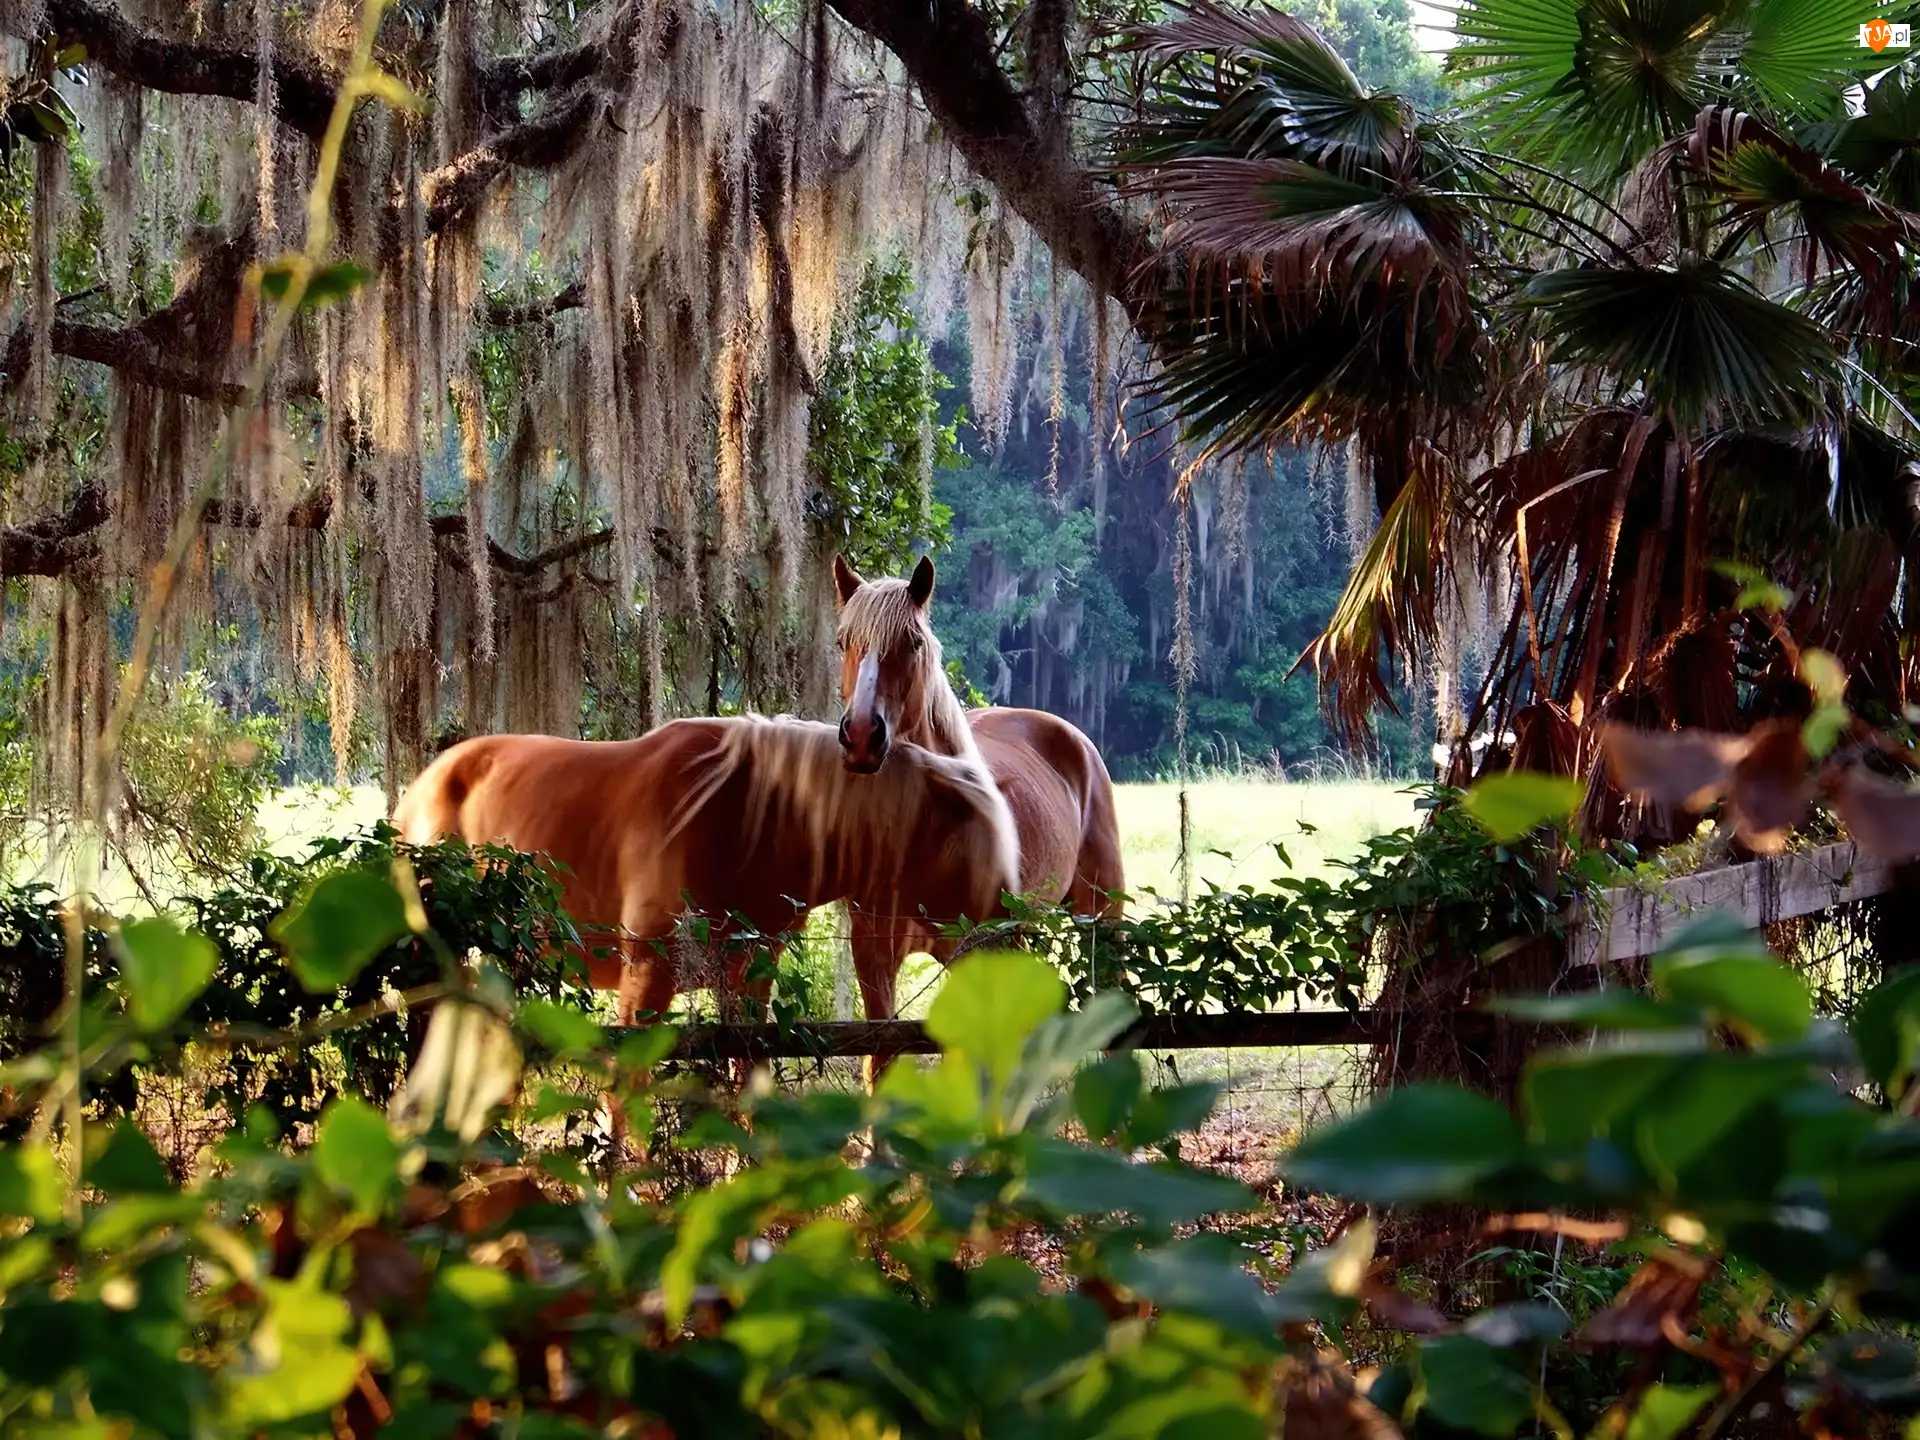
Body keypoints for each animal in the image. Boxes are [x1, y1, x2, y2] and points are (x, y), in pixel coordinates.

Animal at [392, 714, 1020, 1027]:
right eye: (984, 850)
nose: (1015, 945)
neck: (744, 819)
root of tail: (416, 793)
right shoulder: (645, 981)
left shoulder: (747, 983)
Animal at [830, 554, 1125, 1039]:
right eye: (843, 642)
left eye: (912, 643)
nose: (860, 736)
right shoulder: (873, 960)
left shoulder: (975, 953)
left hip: (1099, 921)